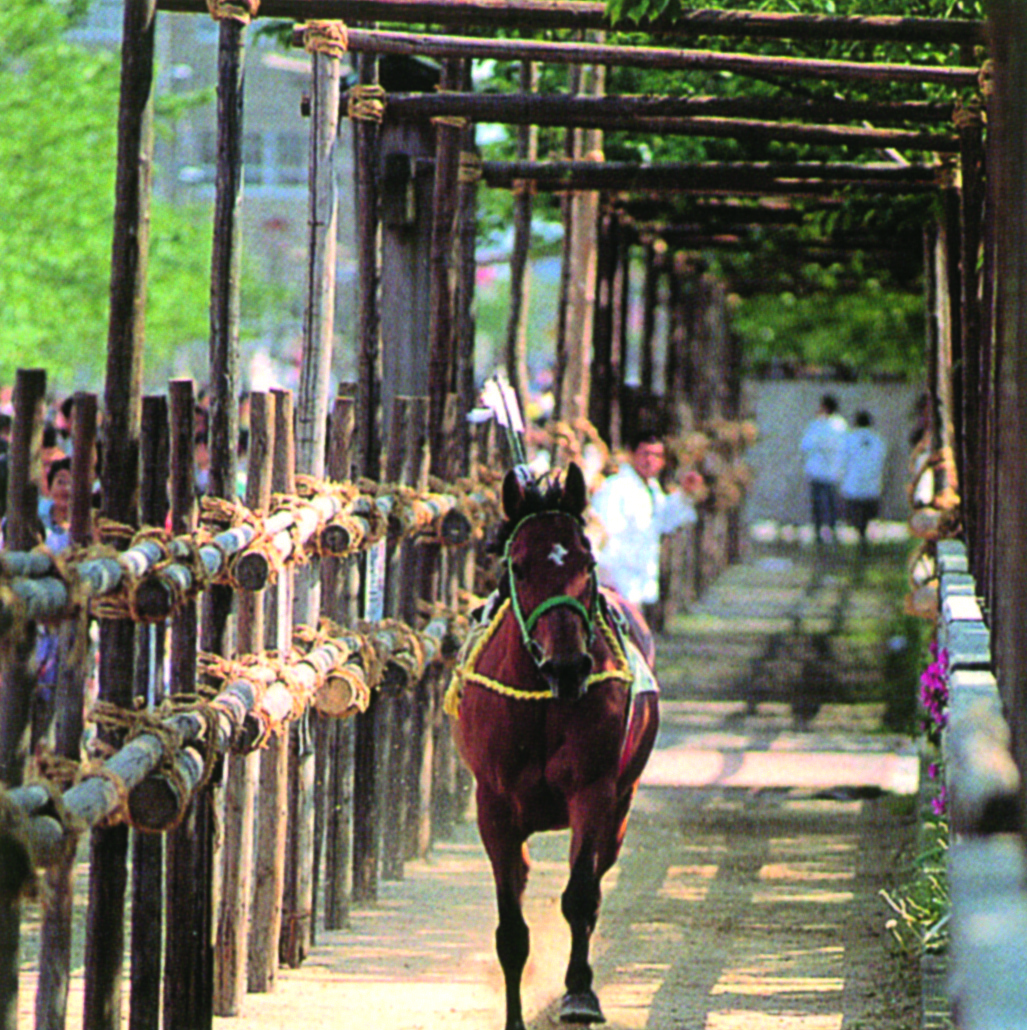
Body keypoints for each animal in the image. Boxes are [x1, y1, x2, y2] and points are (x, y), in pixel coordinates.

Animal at [447, 465, 659, 1030]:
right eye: (519, 567)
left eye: (586, 561)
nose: (568, 666)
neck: (543, 701)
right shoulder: (494, 806)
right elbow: (511, 926)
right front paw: (514, 1017)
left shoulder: (594, 791)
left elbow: (581, 897)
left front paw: (579, 994)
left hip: (621, 805)